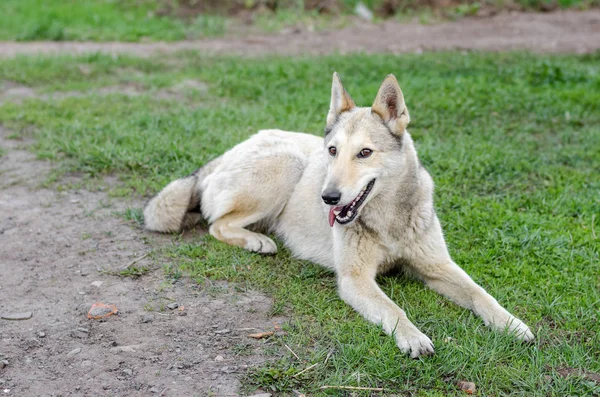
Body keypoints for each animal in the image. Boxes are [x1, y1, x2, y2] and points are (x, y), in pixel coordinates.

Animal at [144, 73, 536, 356]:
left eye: (365, 152)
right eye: (332, 150)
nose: (328, 197)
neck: (388, 219)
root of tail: (222, 155)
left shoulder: (438, 266)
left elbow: (480, 294)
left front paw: (511, 323)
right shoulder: (356, 279)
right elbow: (393, 309)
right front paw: (413, 337)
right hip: (288, 164)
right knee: (218, 224)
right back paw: (258, 241)